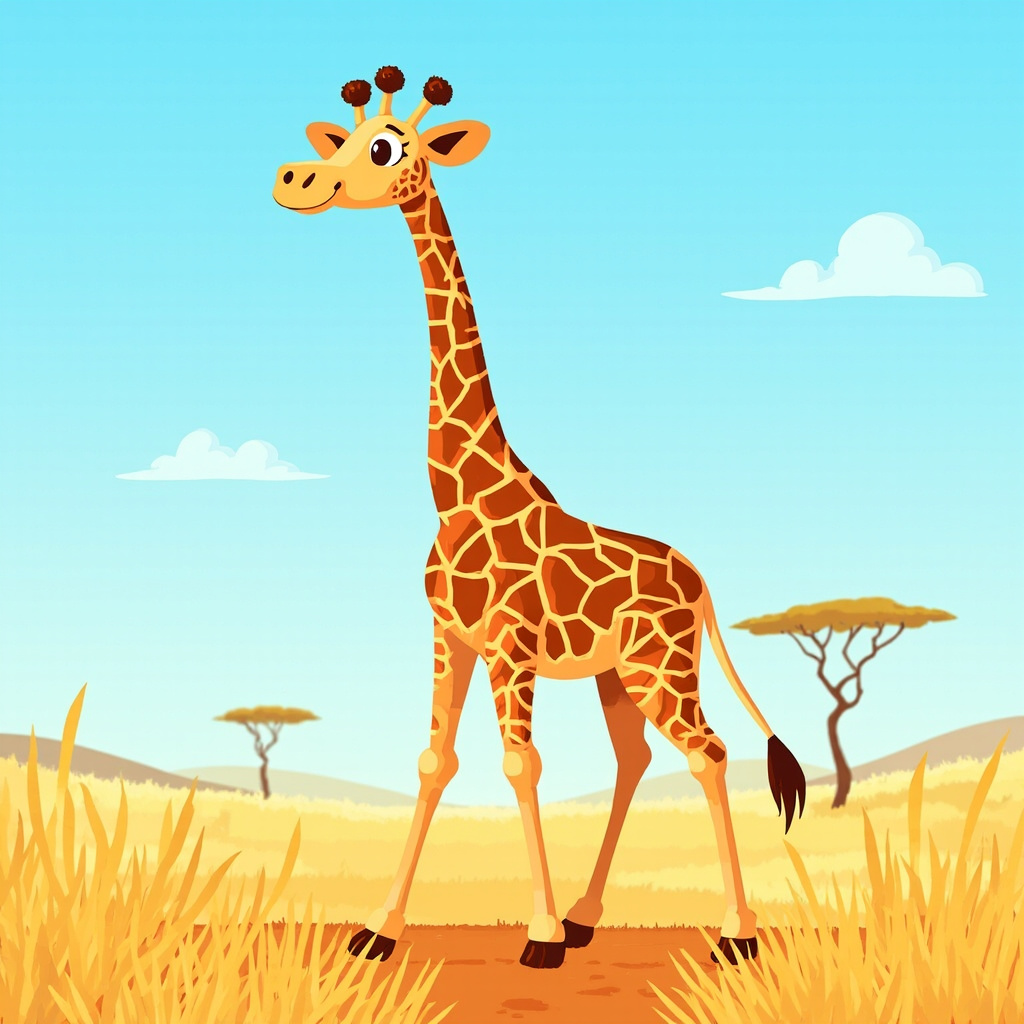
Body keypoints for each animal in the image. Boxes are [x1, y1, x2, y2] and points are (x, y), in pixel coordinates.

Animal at [273, 67, 806, 970]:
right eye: (337, 139)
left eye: (385, 147)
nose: (295, 181)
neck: (460, 490)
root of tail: (699, 581)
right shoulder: (451, 636)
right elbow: (434, 761)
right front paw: (378, 931)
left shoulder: (509, 646)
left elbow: (521, 765)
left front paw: (541, 936)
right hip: (615, 672)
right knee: (636, 756)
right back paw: (594, 915)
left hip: (662, 667)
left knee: (707, 753)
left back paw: (736, 935)